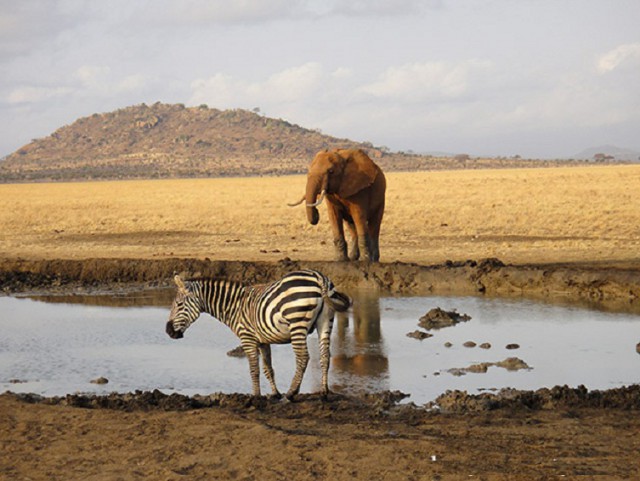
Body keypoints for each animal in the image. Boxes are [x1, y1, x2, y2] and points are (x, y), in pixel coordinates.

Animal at [165, 268, 352, 400]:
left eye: (179, 305)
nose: (168, 331)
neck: (234, 306)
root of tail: (319, 277)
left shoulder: (247, 338)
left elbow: (253, 369)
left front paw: (255, 396)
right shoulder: (263, 340)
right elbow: (268, 368)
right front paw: (274, 394)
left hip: (297, 323)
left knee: (303, 358)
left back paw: (291, 393)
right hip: (326, 322)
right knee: (325, 356)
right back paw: (324, 392)